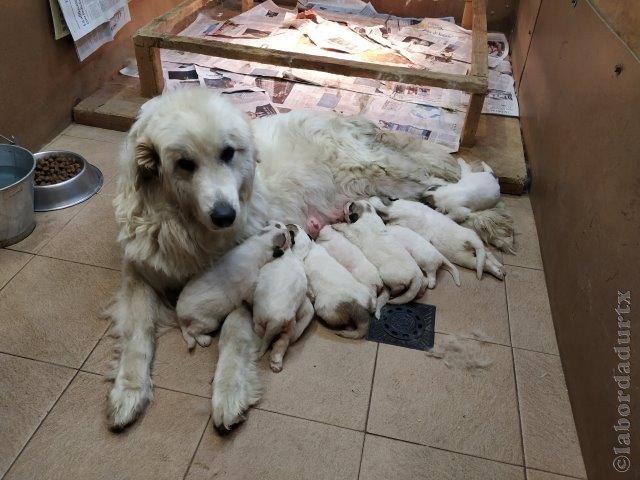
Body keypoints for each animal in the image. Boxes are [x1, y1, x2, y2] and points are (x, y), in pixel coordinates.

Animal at [251, 223, 314, 374]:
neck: (291, 255)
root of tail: (275, 320)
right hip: (289, 327)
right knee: (281, 344)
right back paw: (276, 362)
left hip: (260, 322)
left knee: (267, 337)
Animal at [370, 197, 504, 280]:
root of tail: (470, 241)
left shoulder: (394, 210)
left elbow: (381, 207)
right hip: (465, 258)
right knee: (486, 259)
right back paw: (500, 270)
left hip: (466, 254)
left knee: (484, 261)